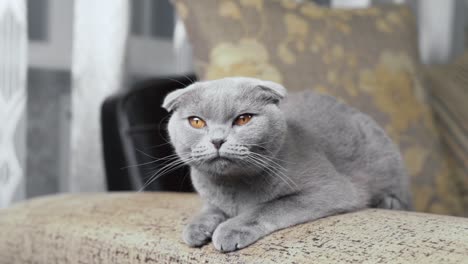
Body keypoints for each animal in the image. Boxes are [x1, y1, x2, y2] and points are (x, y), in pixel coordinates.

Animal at [163, 76, 412, 252]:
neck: (233, 186)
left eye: (243, 119)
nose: (217, 140)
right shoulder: (213, 198)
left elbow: (269, 206)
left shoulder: (330, 189)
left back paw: (388, 202)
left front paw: (230, 229)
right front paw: (197, 228)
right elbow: (210, 209)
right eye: (196, 122)